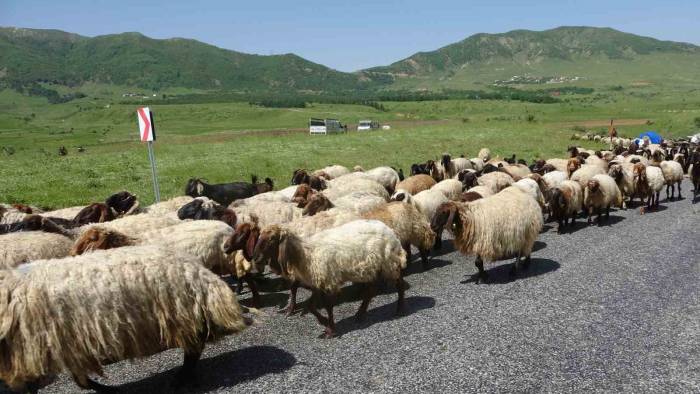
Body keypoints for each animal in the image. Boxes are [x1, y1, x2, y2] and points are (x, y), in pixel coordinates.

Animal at [0, 246, 247, 390]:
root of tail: (197, 270)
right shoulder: (68, 347)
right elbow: (79, 377)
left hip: (183, 314)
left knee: (193, 350)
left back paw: (182, 378)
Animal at [253, 220, 408, 338]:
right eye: (259, 236)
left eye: (272, 238)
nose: (256, 258)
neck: (306, 253)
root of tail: (388, 228)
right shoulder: (319, 282)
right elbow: (311, 306)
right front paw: (324, 322)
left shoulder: (328, 281)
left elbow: (328, 307)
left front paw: (330, 329)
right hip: (371, 268)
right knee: (370, 291)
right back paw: (360, 314)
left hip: (389, 264)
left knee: (399, 285)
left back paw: (399, 309)